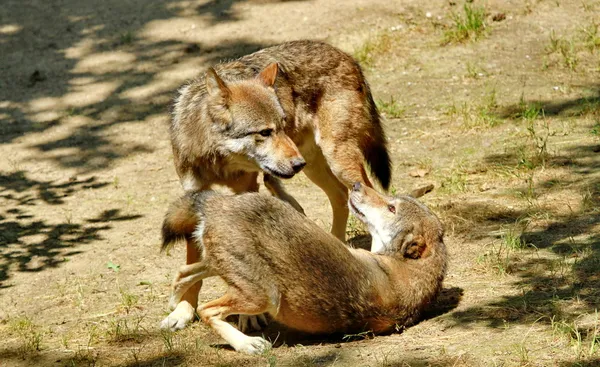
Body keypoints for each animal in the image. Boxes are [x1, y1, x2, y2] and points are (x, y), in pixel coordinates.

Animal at [159, 183, 446, 356]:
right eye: (391, 200)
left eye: (391, 207)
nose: (356, 184)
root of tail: (218, 203)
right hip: (233, 272)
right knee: (183, 274)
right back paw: (175, 306)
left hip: (262, 294)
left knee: (206, 307)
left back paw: (247, 345)